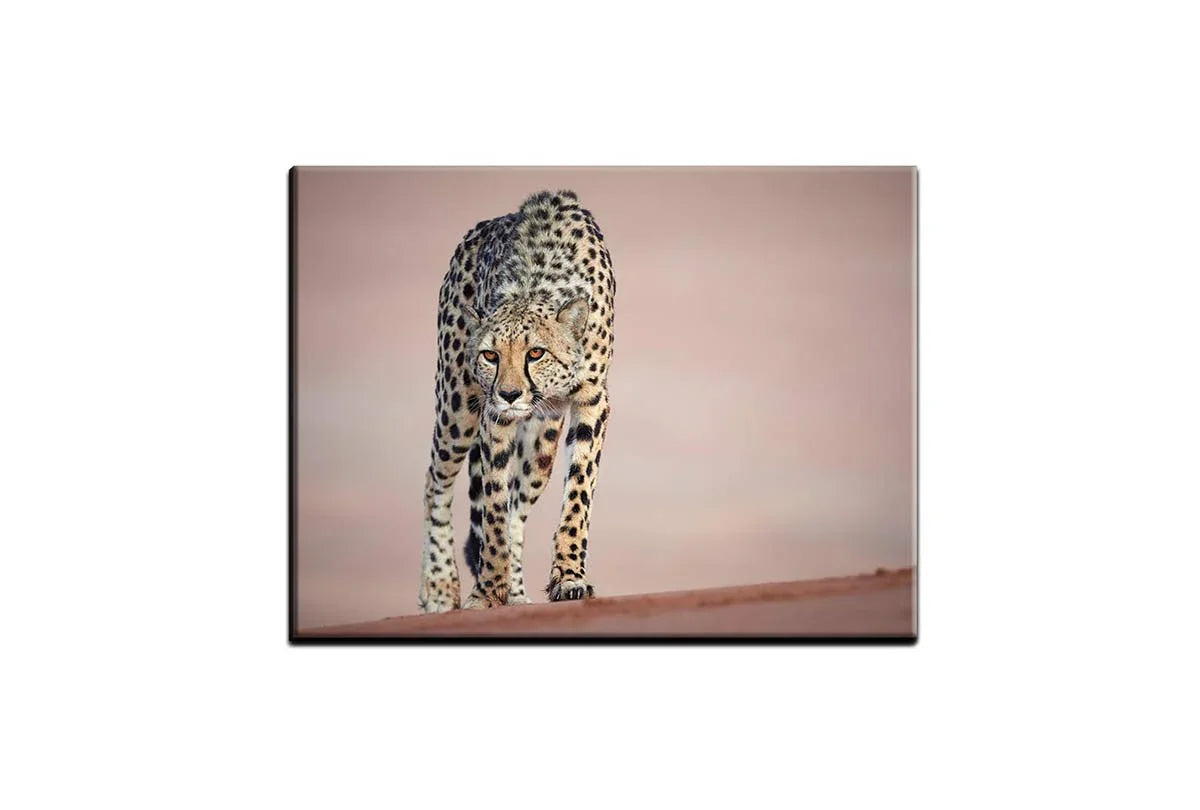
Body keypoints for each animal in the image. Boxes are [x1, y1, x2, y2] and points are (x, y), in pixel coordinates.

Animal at [417, 190, 615, 613]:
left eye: (536, 353)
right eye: (491, 355)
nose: (509, 394)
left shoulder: (592, 400)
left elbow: (577, 495)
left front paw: (568, 577)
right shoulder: (493, 420)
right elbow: (492, 507)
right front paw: (488, 590)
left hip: (542, 448)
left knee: (517, 508)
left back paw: (518, 593)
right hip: (457, 406)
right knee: (435, 480)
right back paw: (439, 586)